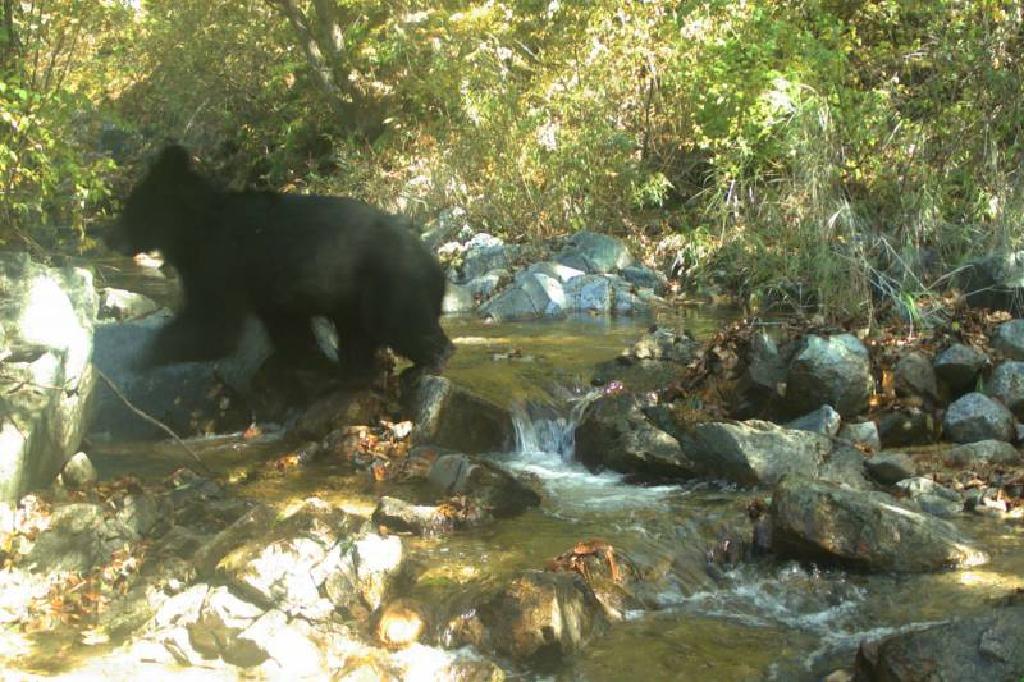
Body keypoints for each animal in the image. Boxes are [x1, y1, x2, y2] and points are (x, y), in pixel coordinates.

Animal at [107, 144, 452, 378]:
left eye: (130, 209)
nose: (110, 237)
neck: (195, 230)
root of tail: (435, 264)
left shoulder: (221, 261)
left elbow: (212, 325)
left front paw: (141, 357)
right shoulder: (269, 292)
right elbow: (286, 329)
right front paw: (299, 359)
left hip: (392, 285)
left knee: (404, 324)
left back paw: (432, 359)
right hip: (353, 298)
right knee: (360, 336)